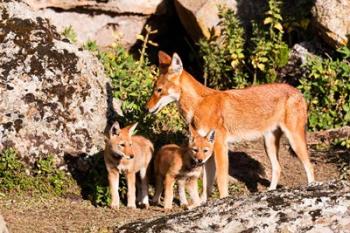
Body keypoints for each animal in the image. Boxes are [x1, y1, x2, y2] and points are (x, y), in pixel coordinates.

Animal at [146, 51, 316, 200]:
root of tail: (298, 92)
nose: (146, 108)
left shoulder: (220, 146)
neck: (199, 105)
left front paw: (223, 200)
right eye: (154, 89)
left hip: (295, 142)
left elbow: (221, 181)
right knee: (277, 168)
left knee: (310, 168)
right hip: (269, 144)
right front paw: (202, 204)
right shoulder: (206, 151)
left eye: (159, 90)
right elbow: (206, 186)